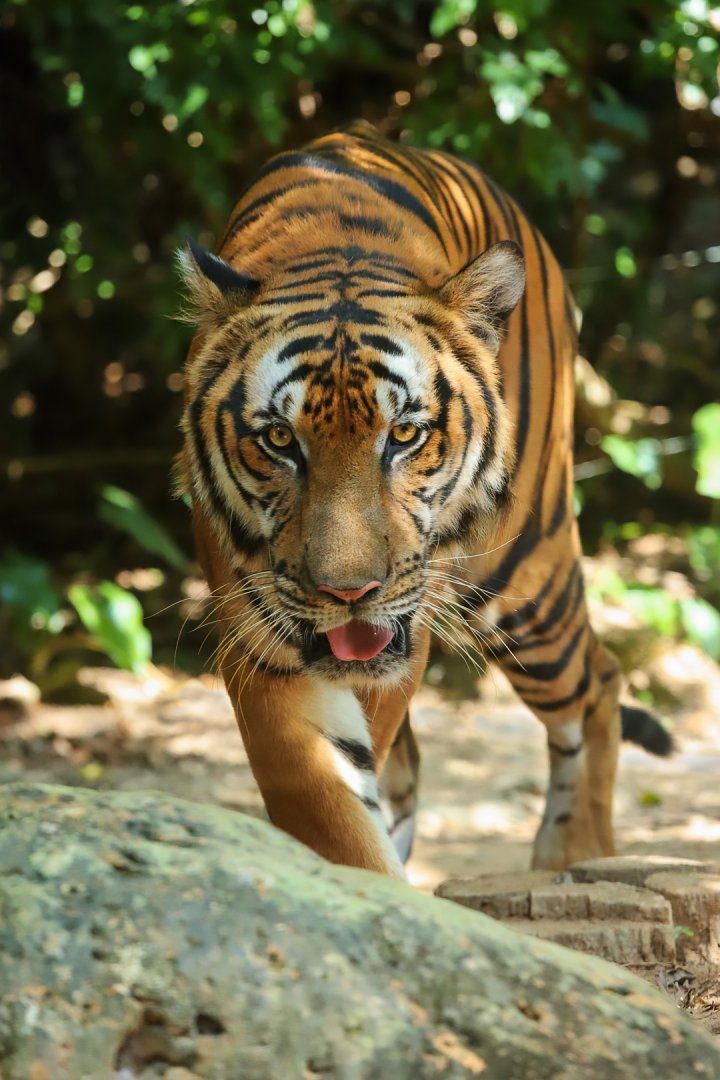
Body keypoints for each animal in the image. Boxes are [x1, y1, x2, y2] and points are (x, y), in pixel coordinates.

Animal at [177, 120, 670, 878]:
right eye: (281, 439)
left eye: (404, 434)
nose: (351, 593)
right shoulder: (261, 637)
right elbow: (325, 796)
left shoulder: (397, 639)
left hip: (524, 581)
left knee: (600, 679)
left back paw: (574, 854)